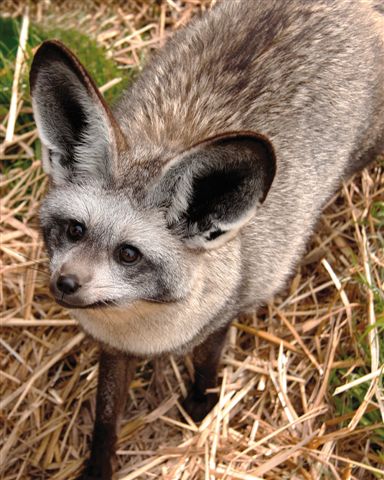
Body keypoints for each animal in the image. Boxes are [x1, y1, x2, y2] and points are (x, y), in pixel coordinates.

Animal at [30, 0, 384, 478]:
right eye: (75, 230)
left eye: (129, 254)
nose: (65, 283)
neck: (147, 329)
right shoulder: (113, 350)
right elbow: (105, 420)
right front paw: (98, 466)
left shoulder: (223, 317)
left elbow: (206, 365)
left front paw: (201, 407)